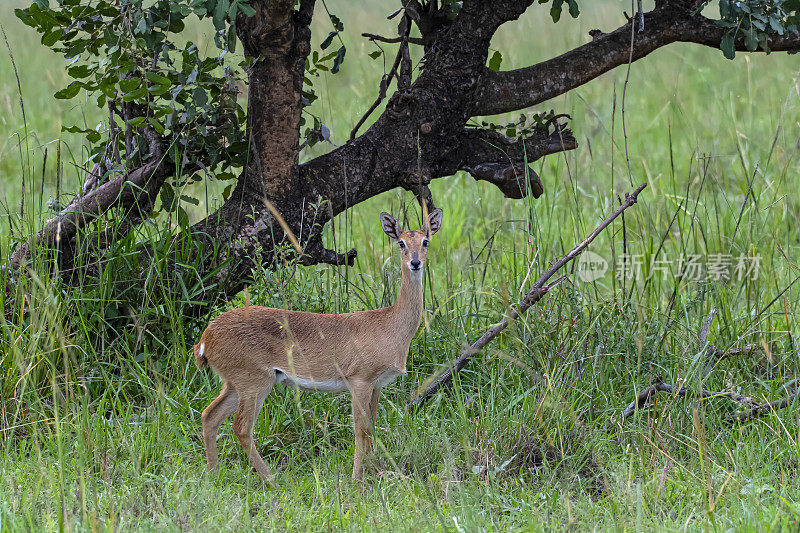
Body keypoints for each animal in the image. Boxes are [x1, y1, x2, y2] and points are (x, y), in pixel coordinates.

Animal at [194, 209, 444, 482]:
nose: (415, 262)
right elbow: (360, 430)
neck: (391, 324)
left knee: (209, 416)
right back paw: (272, 480)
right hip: (254, 382)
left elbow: (372, 428)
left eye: (425, 241)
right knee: (240, 427)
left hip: (234, 383)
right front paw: (356, 480)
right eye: (401, 243)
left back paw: (214, 475)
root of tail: (205, 338)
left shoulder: (378, 384)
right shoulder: (359, 380)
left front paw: (372, 473)